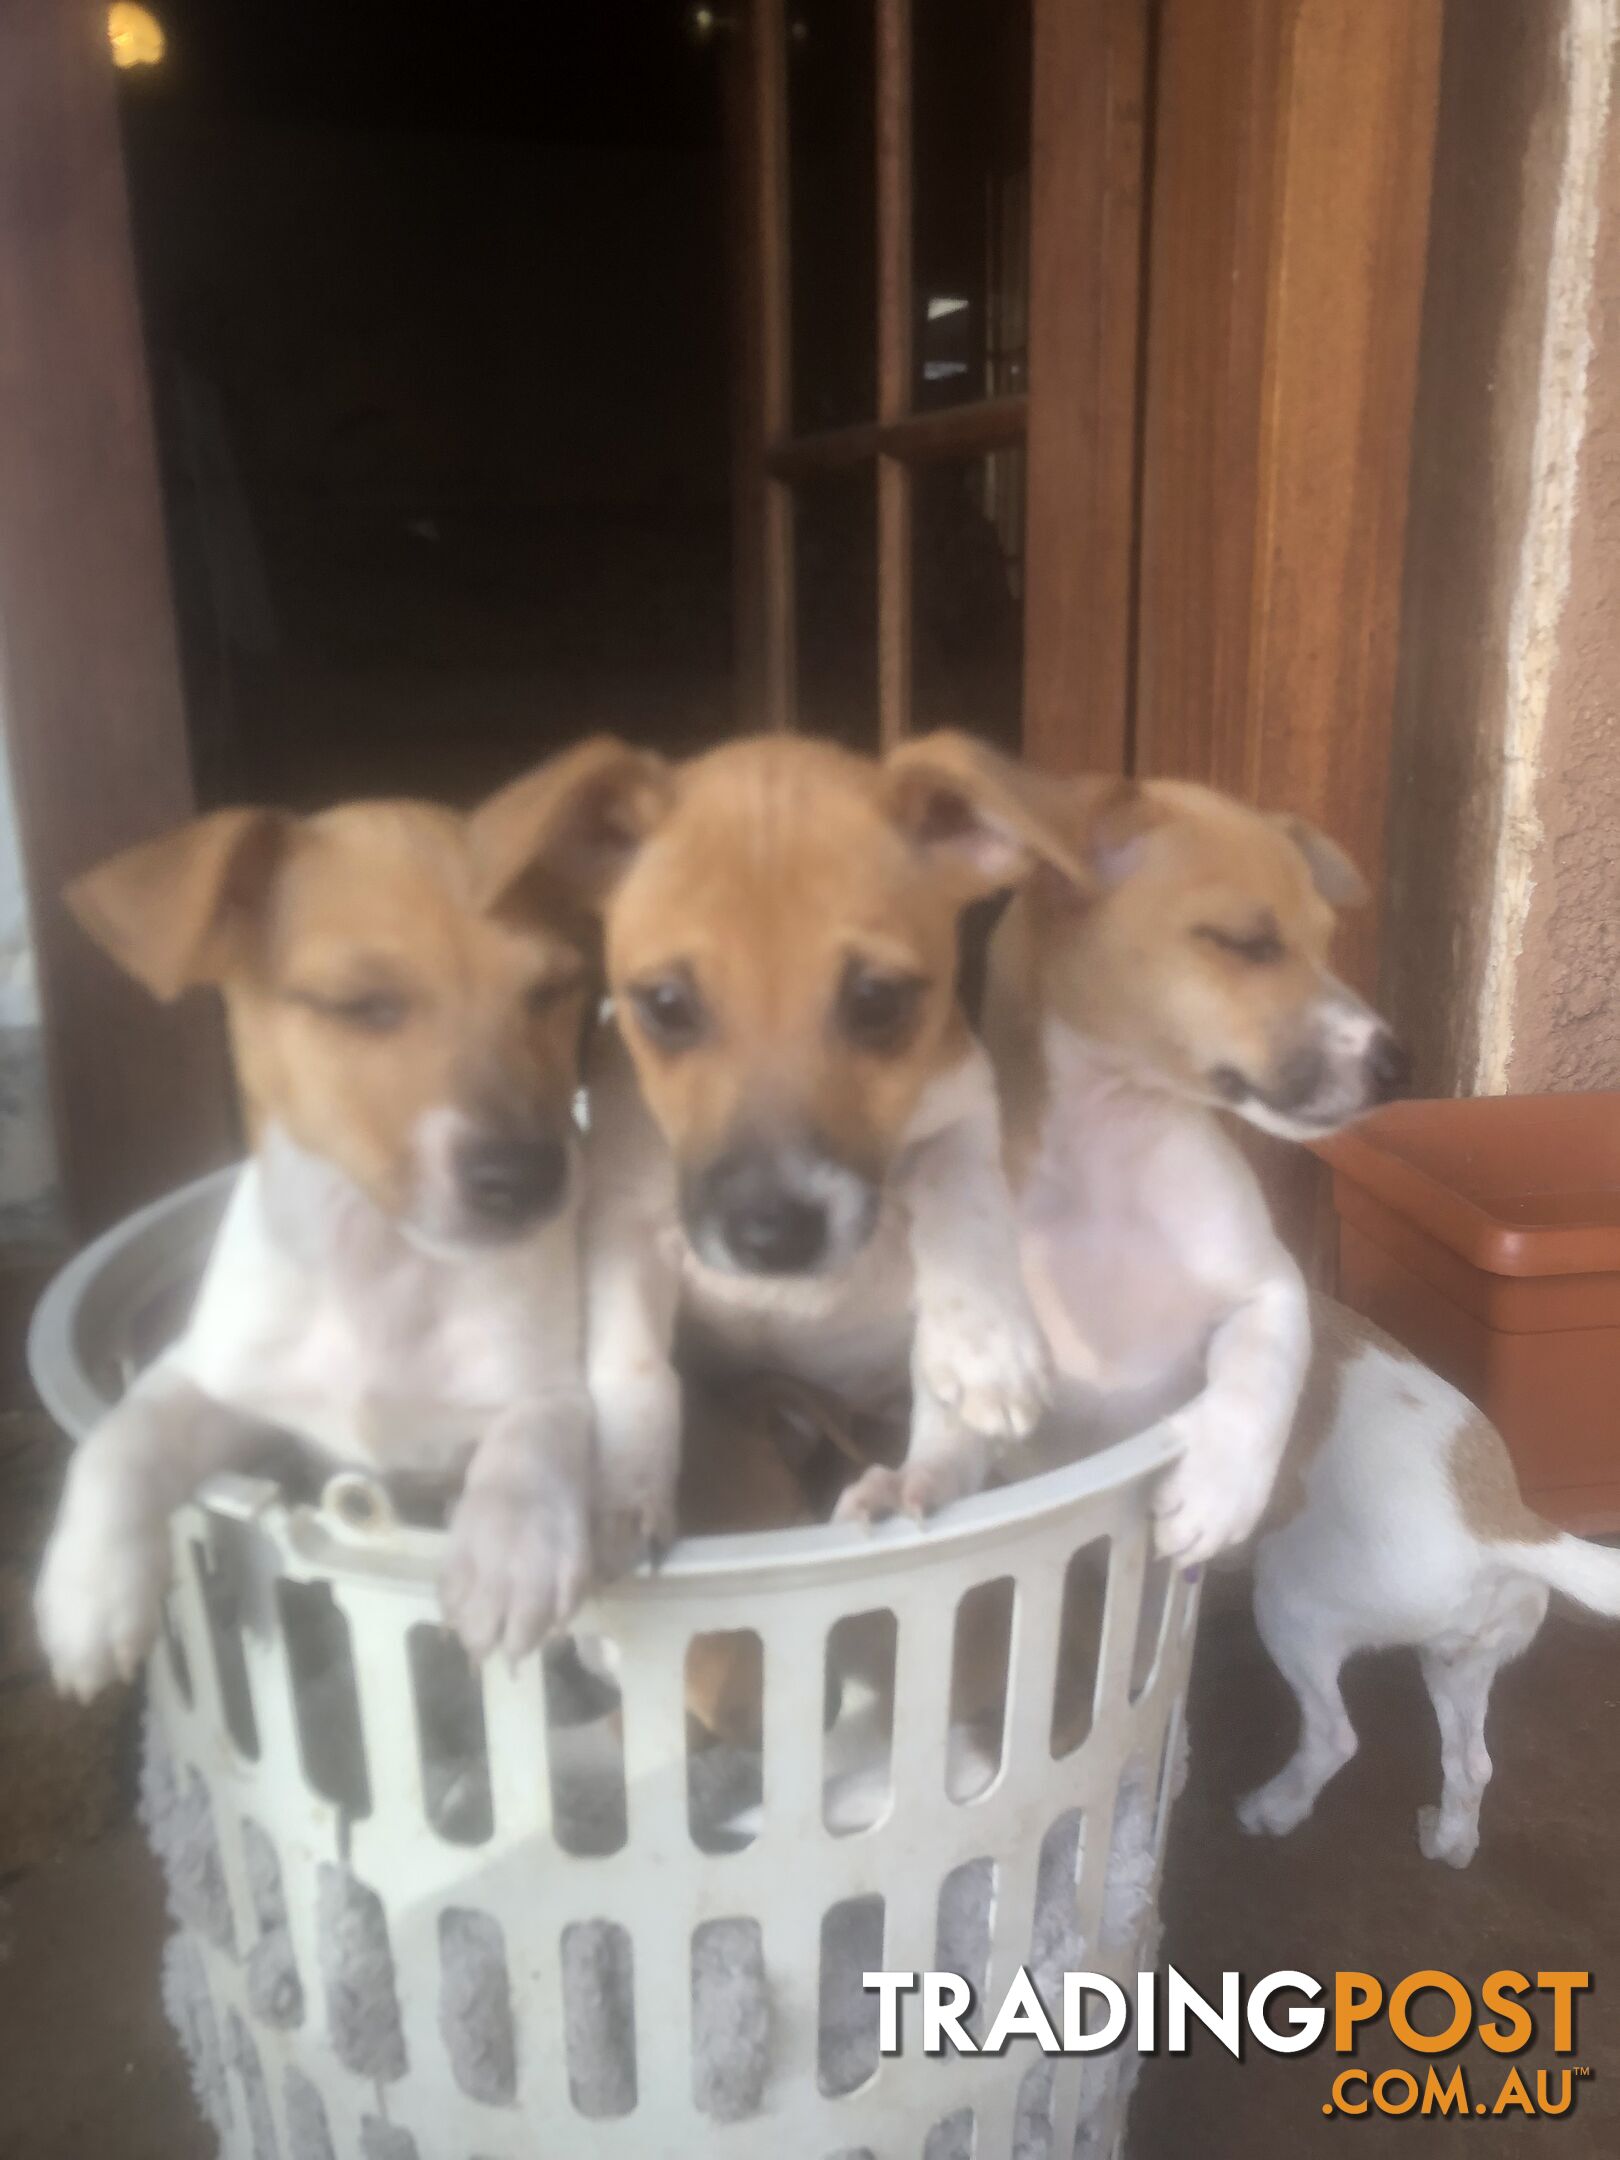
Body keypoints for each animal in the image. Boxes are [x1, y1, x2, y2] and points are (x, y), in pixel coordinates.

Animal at [36, 747, 652, 1702]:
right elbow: (118, 1438)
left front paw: (509, 1556)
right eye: (360, 1004)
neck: (382, 1268)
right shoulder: (216, 1378)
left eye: (555, 991)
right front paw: (90, 1595)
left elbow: (530, 1442)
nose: (530, 1176)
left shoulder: (545, 1383)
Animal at [473, 734, 1092, 1563]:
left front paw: (987, 1343)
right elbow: (634, 1368)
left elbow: (964, 1206)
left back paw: (911, 1476)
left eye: (877, 1001)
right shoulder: (622, 1222)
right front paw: (625, 1493)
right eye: (666, 1005)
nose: (774, 1238)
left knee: (945, 1429)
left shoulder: (963, 1102)